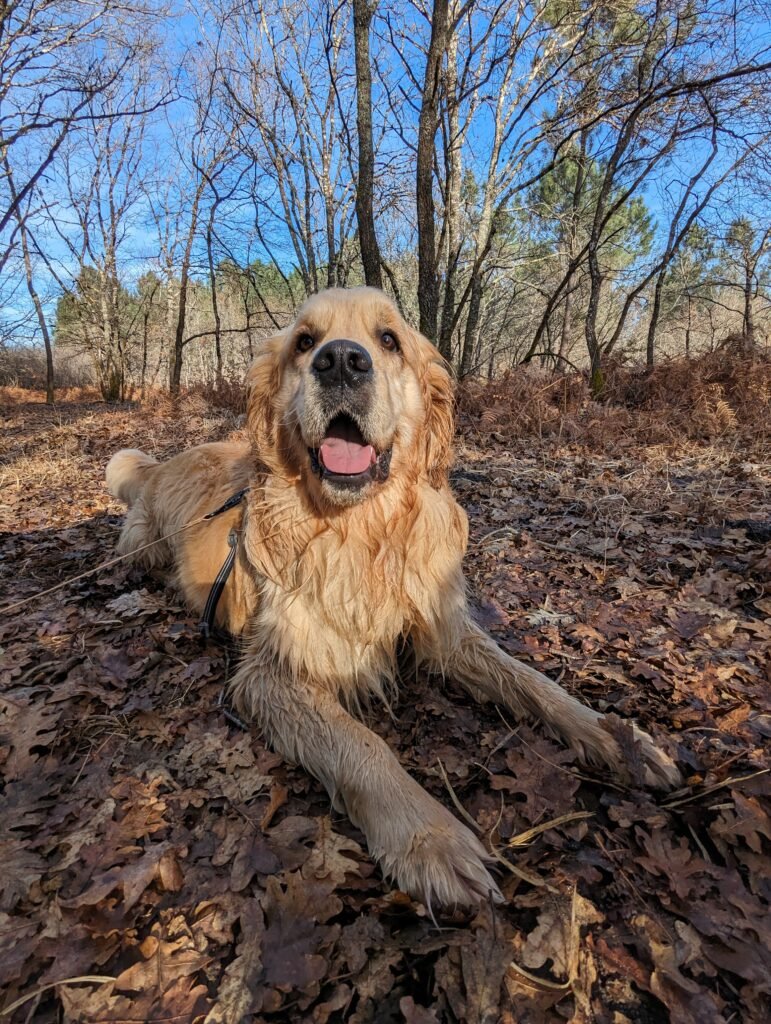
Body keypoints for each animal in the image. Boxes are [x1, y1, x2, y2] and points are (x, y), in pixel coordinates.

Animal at [105, 286, 675, 905]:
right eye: (304, 342)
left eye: (388, 340)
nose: (340, 361)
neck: (364, 531)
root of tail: (160, 466)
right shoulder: (273, 672)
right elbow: (362, 746)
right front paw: (429, 838)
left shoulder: (442, 626)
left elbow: (534, 682)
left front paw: (618, 738)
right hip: (143, 545)